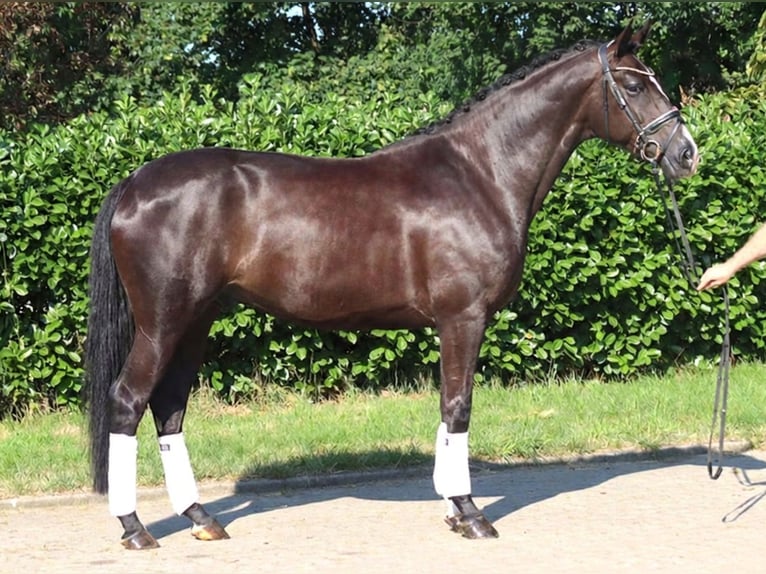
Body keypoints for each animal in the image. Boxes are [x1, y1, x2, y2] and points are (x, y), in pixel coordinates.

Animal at [85, 21, 699, 549]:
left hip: (196, 320)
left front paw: (452, 509)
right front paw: (470, 513)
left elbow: (448, 411)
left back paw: (201, 518)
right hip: (164, 322)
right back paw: (135, 527)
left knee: (169, 407)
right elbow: (459, 407)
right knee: (127, 401)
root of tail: (135, 183)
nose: (686, 153)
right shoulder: (463, 318)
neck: (480, 173)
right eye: (635, 85)